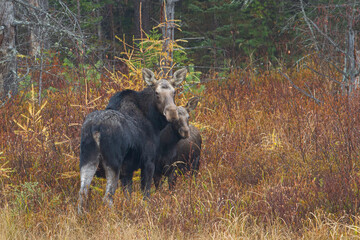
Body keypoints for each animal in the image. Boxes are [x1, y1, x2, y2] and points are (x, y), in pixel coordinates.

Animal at [77, 67, 187, 212]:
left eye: (174, 92)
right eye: (157, 93)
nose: (172, 113)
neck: (154, 121)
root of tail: (96, 128)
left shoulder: (127, 170)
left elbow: (128, 195)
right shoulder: (148, 161)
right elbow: (146, 194)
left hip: (87, 159)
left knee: (82, 194)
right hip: (113, 162)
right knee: (107, 197)